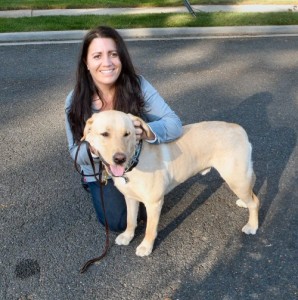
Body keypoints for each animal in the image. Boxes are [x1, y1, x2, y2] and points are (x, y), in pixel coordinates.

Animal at [81, 111, 258, 256]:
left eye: (127, 134)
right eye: (104, 134)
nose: (119, 158)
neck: (135, 160)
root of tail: (238, 128)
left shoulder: (154, 202)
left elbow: (150, 229)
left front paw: (146, 246)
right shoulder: (130, 198)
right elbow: (130, 220)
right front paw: (127, 235)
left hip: (235, 179)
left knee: (255, 202)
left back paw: (252, 225)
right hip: (240, 178)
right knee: (252, 189)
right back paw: (245, 203)